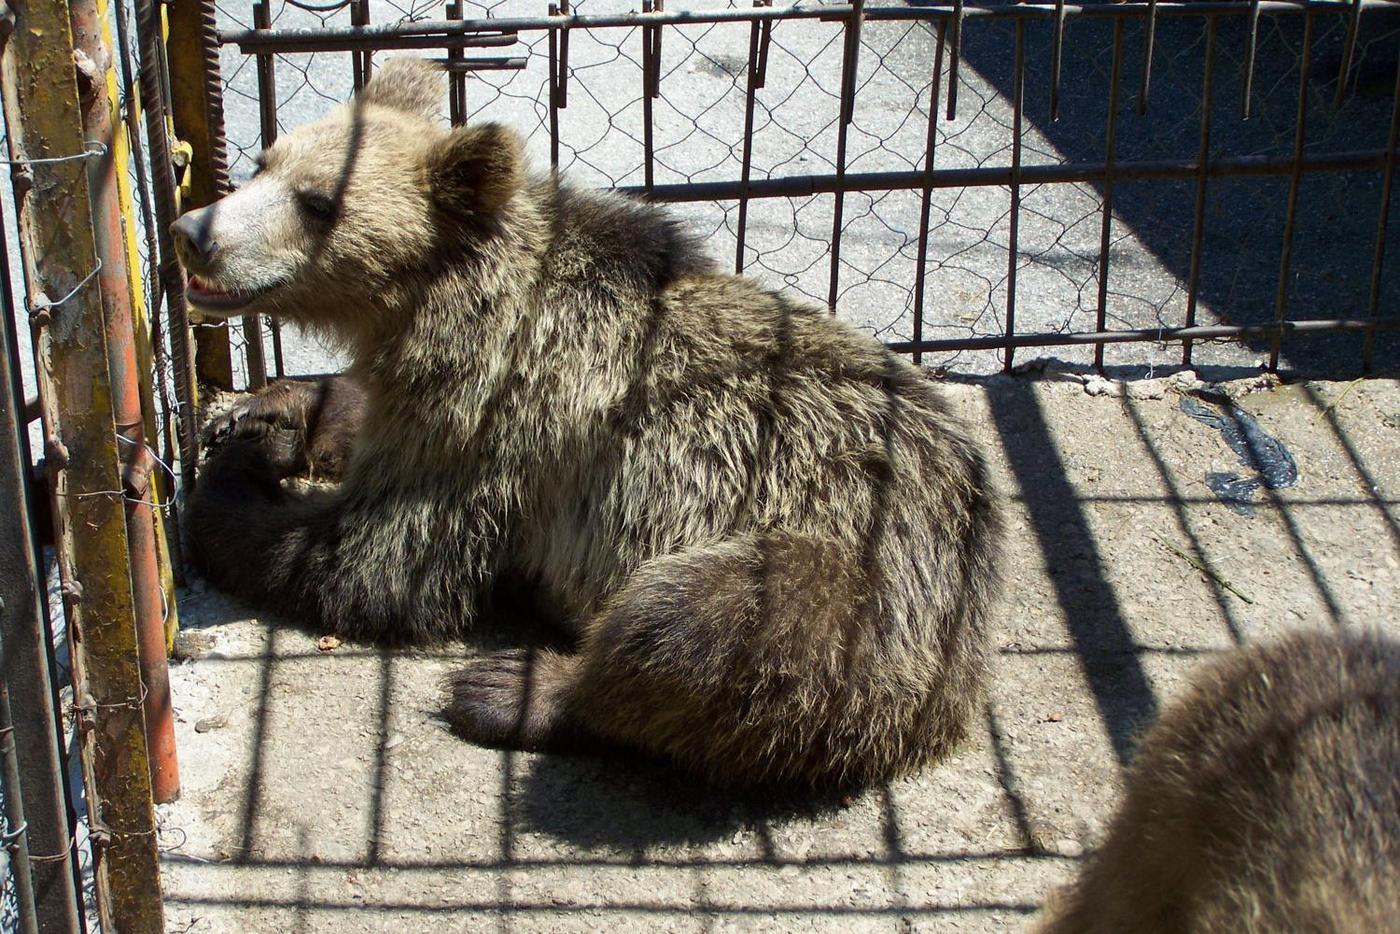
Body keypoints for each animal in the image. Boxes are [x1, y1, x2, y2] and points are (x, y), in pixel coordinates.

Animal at [175, 56, 1002, 789]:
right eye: (263, 160)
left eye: (318, 201)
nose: (193, 232)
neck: (436, 302)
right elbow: (359, 424)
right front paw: (266, 411)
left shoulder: (496, 422)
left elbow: (373, 561)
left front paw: (233, 478)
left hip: (864, 568)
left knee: (713, 620)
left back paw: (516, 687)